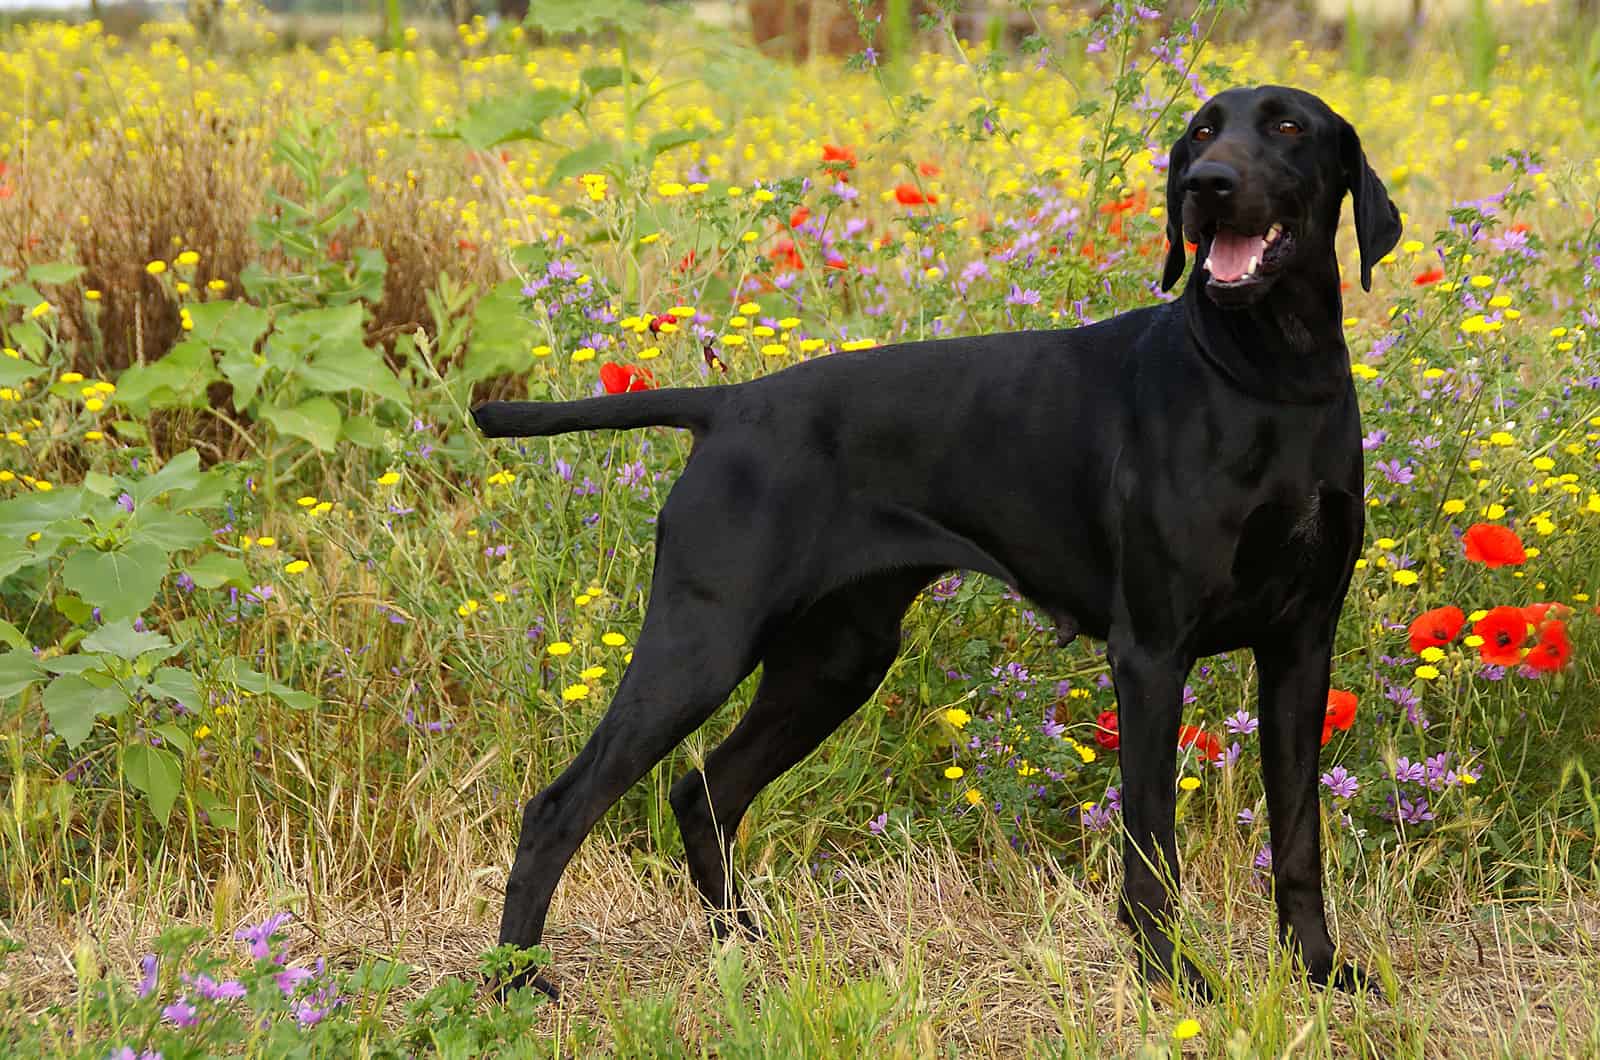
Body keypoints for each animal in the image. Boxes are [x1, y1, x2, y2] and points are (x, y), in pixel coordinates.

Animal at [470, 85, 1401, 1005]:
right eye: (1202, 133)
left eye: (1287, 126)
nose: (1207, 186)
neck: (1272, 378)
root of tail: (728, 405)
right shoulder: (1151, 653)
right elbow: (1151, 848)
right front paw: (1170, 980)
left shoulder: (1300, 647)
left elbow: (1299, 837)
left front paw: (1321, 971)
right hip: (702, 643)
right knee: (560, 807)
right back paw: (517, 980)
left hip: (834, 660)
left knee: (705, 793)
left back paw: (748, 951)